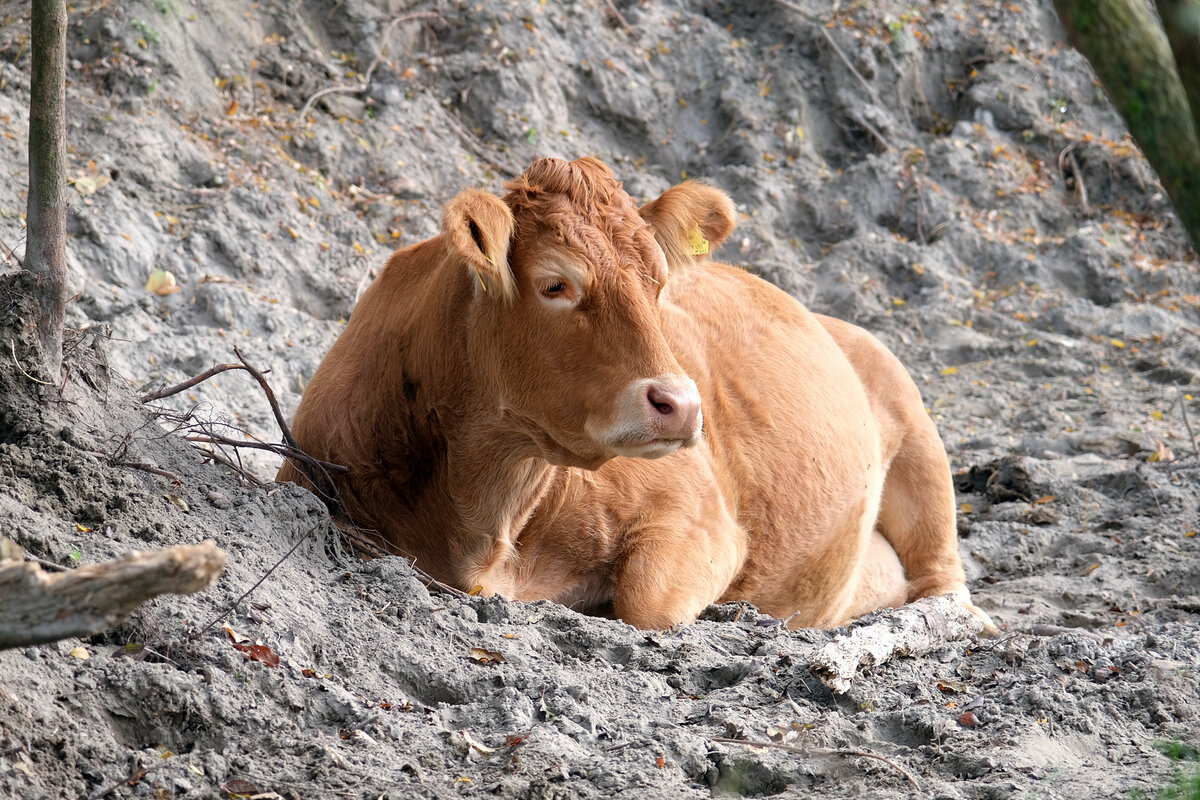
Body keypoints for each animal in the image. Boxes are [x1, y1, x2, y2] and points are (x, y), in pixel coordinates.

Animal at [278, 155, 993, 633]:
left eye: (658, 283)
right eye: (556, 284)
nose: (682, 405)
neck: (483, 518)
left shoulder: (701, 516)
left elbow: (645, 603)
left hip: (914, 426)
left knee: (943, 577)